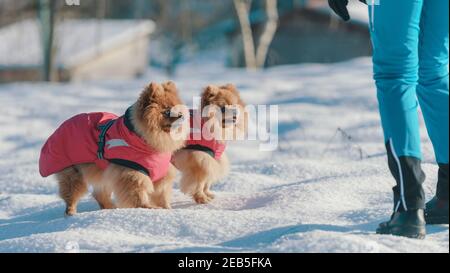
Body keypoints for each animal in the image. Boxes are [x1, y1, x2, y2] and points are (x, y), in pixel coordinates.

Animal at [37, 81, 187, 215]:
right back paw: (71, 213)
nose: (182, 116)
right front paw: (147, 208)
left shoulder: (162, 174)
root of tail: (58, 129)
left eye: (179, 110)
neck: (144, 140)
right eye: (167, 111)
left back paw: (110, 208)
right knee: (71, 195)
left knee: (99, 194)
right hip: (74, 173)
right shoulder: (132, 173)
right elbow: (138, 194)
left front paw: (167, 209)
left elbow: (161, 194)